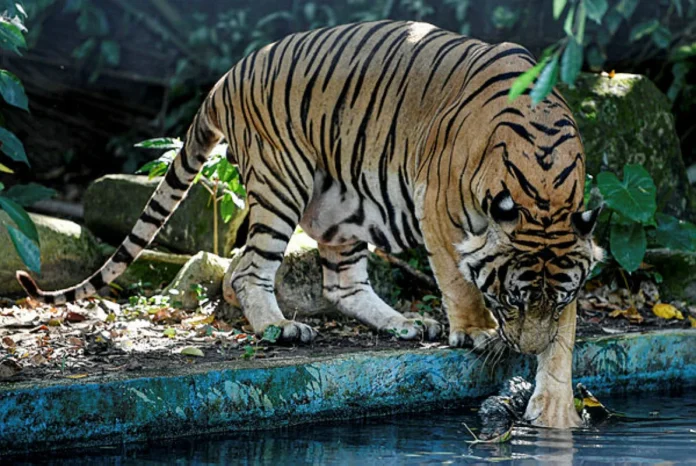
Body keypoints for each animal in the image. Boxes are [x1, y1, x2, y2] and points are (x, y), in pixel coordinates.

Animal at [16, 20, 603, 428]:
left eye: (551, 300)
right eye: (509, 302)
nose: (522, 351)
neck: (543, 187)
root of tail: (228, 75)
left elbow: (566, 335)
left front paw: (555, 410)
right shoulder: (436, 208)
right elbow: (458, 280)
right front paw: (477, 330)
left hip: (347, 206)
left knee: (341, 283)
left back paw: (405, 324)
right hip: (281, 182)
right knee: (245, 270)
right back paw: (281, 328)